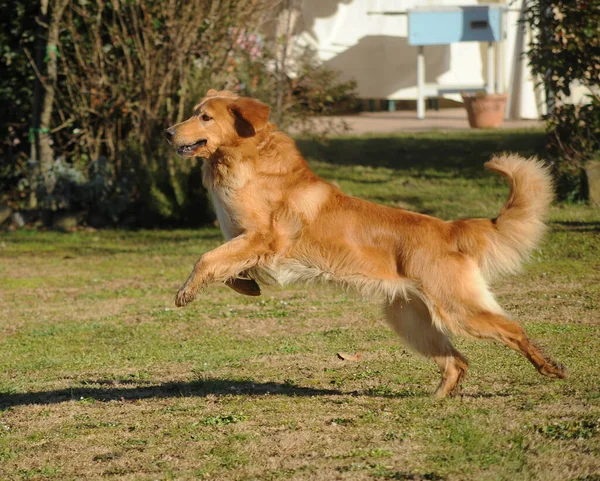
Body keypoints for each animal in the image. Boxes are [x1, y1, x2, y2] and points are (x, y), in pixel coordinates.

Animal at [166, 88, 564, 396]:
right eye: (193, 113)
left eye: (204, 117)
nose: (168, 132)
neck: (248, 162)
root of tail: (447, 228)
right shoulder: (241, 240)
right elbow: (223, 265)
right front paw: (245, 286)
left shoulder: (263, 238)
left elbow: (206, 258)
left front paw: (186, 291)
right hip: (411, 322)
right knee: (458, 361)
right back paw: (436, 399)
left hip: (458, 310)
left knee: (513, 330)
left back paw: (550, 367)